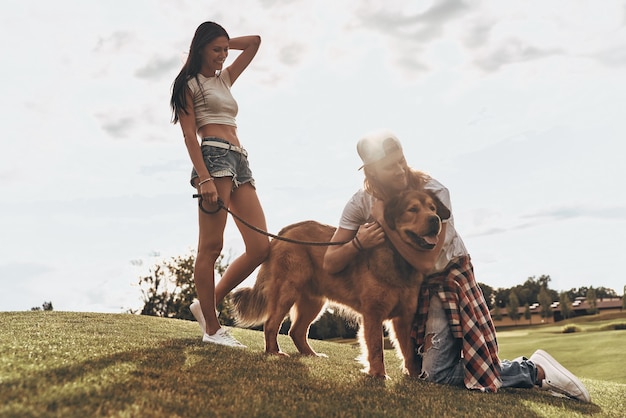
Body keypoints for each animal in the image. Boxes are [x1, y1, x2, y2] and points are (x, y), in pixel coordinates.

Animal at [230, 190, 444, 378]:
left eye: (432, 208)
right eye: (412, 209)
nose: (435, 219)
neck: (398, 257)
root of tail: (285, 231)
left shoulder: (404, 317)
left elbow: (409, 351)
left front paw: (414, 376)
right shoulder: (373, 313)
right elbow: (376, 348)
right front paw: (378, 375)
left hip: (313, 302)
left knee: (296, 331)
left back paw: (311, 355)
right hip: (287, 292)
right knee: (271, 324)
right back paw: (274, 352)